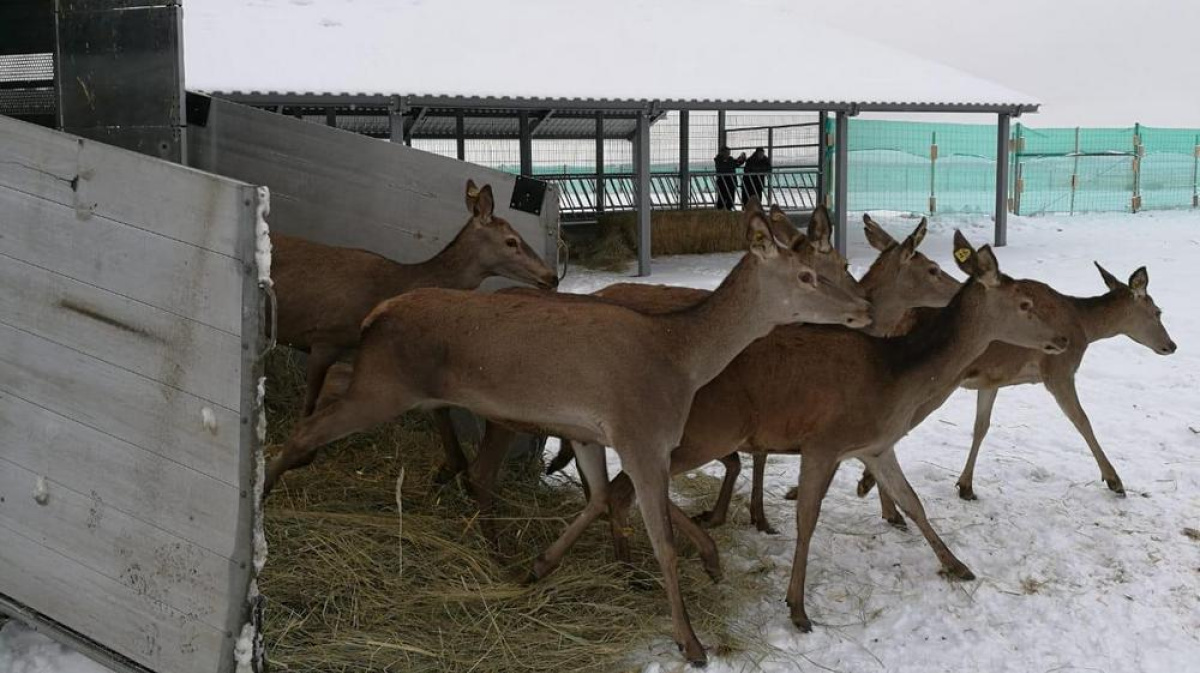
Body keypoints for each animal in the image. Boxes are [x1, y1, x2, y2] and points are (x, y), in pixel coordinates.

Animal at [270, 179, 554, 467]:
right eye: (511, 241)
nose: (551, 276)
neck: (390, 286)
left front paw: (455, 465)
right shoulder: (325, 336)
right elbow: (309, 405)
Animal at [542, 230, 1070, 628]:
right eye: (1025, 302)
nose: (1063, 339)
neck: (895, 378)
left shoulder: (875, 446)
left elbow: (913, 502)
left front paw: (956, 565)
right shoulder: (825, 442)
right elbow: (807, 519)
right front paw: (796, 607)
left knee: (617, 489)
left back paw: (617, 566)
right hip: (690, 435)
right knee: (622, 489)